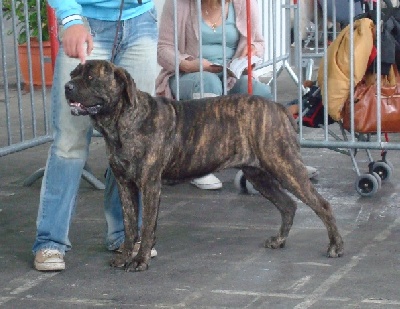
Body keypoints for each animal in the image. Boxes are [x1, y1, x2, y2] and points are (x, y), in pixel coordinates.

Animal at [65, 59, 344, 270]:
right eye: (72, 73)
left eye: (91, 77)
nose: (67, 86)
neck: (122, 121)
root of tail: (278, 107)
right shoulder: (125, 185)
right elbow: (130, 225)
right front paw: (124, 256)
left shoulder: (150, 185)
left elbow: (146, 229)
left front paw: (141, 260)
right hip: (259, 174)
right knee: (288, 205)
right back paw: (279, 240)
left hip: (285, 166)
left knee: (322, 205)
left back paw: (335, 246)